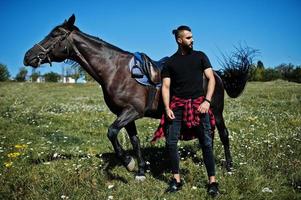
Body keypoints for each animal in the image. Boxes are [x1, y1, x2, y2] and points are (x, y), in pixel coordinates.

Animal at [22, 14, 253, 180]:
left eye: (55, 34)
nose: (28, 56)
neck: (114, 70)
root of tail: (215, 73)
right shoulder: (125, 114)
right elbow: (134, 140)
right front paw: (140, 170)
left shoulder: (132, 111)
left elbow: (111, 132)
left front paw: (128, 163)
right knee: (209, 135)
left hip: (216, 110)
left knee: (223, 134)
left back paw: (229, 166)